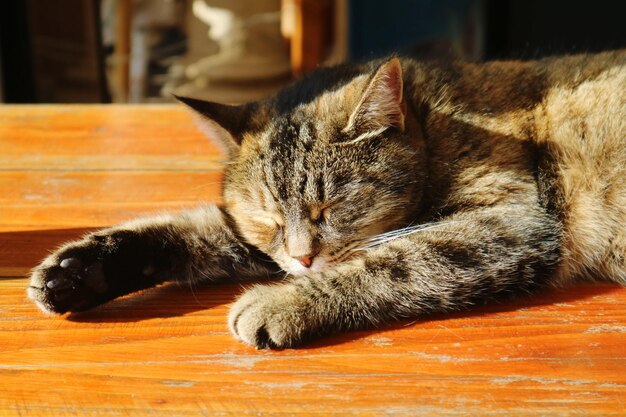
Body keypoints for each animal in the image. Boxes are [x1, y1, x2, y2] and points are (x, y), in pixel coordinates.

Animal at [28, 48, 624, 348]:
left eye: (331, 208)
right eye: (269, 219)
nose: (303, 257)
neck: (435, 121)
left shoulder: (513, 221)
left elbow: (400, 260)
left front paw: (283, 303)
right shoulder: (257, 240)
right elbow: (196, 229)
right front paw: (81, 269)